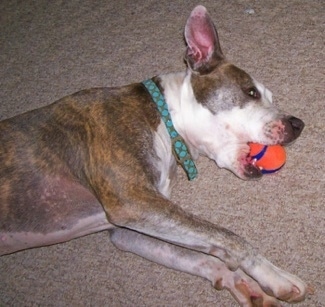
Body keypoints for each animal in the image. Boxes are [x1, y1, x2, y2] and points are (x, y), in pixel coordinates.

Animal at [0, 5, 310, 307]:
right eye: (251, 91)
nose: (298, 124)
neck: (165, 119)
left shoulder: (128, 229)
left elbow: (197, 255)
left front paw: (240, 282)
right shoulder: (131, 200)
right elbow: (228, 236)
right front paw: (274, 275)